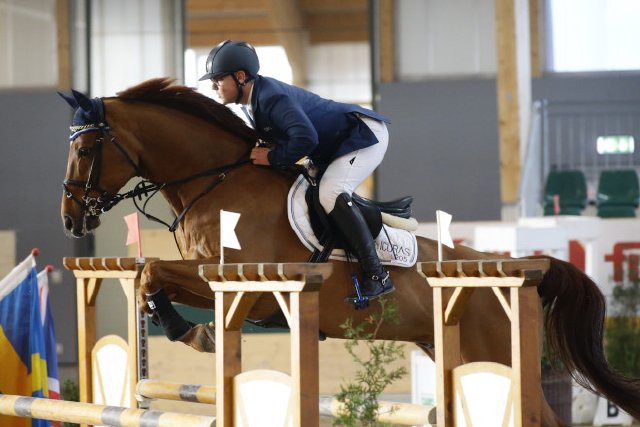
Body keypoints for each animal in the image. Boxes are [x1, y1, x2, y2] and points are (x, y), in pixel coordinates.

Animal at [60, 77, 640, 424]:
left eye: (85, 149)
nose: (70, 220)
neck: (216, 181)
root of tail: (516, 268)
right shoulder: (218, 281)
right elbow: (148, 277)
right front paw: (190, 330)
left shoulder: (238, 280)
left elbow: (154, 271)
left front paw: (192, 333)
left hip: (496, 352)